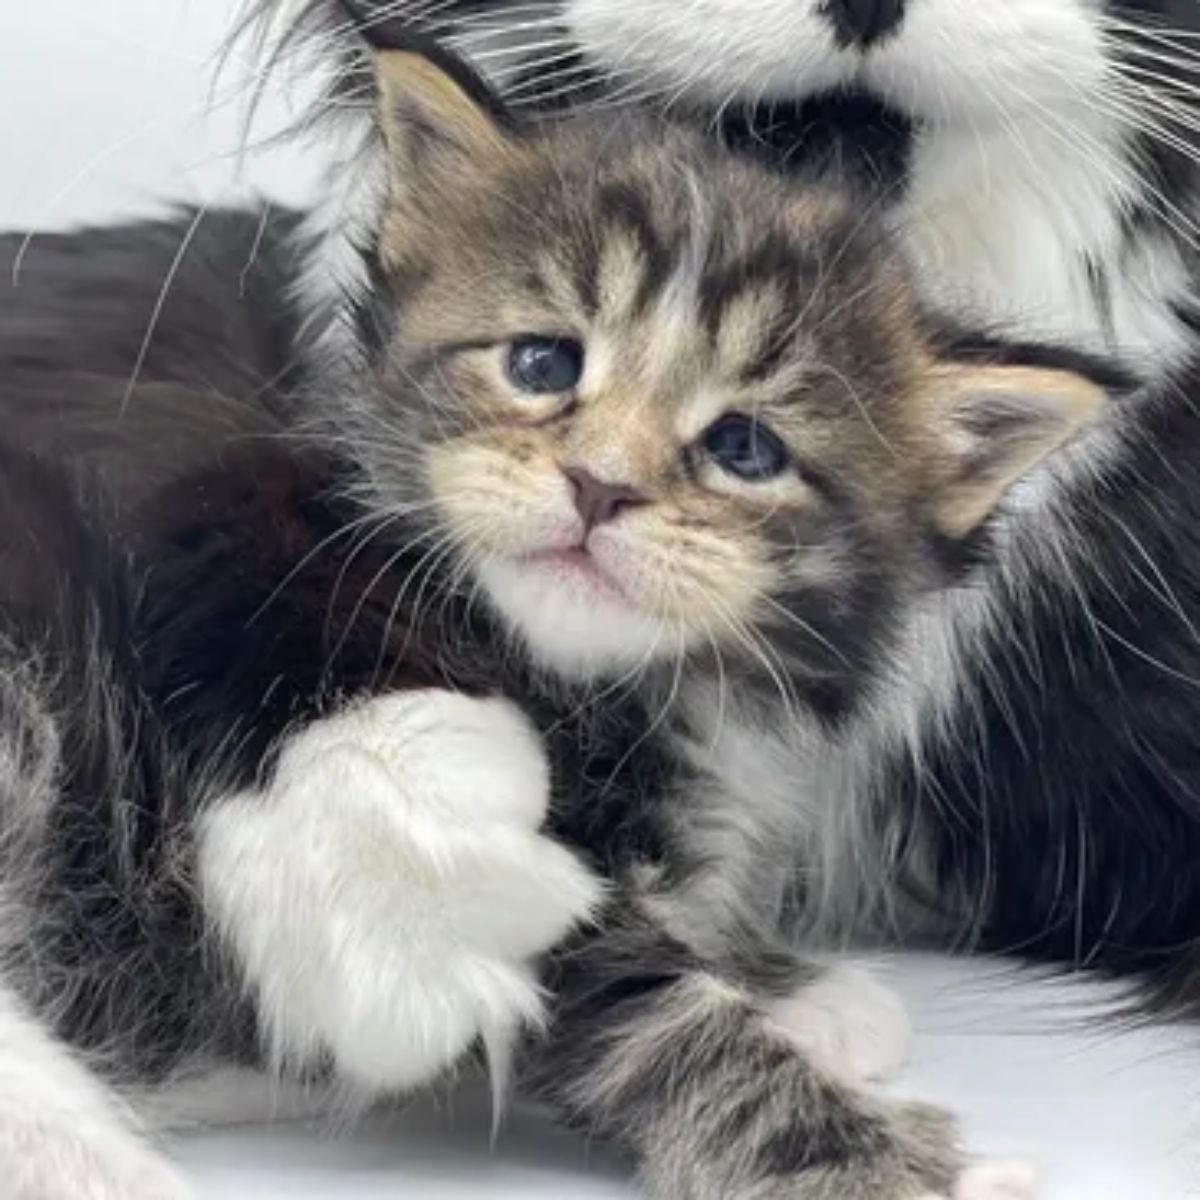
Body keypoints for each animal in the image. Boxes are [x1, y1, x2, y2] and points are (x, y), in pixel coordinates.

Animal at [2, 23, 1123, 1200]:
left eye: (746, 448)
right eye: (542, 363)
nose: (600, 485)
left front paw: (791, 984)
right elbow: (660, 1023)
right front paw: (882, 1161)